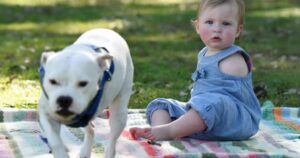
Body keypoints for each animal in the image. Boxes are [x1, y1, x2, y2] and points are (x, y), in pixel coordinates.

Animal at [38, 28, 134, 158]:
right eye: (52, 81)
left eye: (83, 83)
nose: (64, 99)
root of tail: (106, 29)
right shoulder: (47, 115)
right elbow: (55, 141)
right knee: (91, 130)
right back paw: (85, 151)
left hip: (119, 112)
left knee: (112, 139)